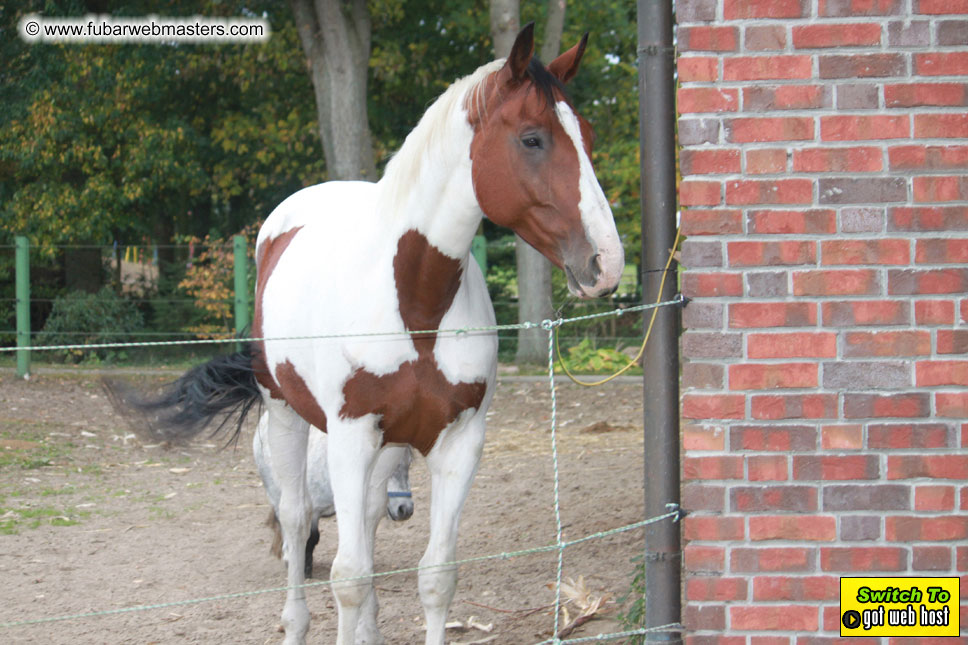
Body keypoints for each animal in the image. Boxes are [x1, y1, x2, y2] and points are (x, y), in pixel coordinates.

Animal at [253, 412, 412, 580]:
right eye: (388, 468)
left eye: (409, 463)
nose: (405, 509)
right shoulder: (313, 512)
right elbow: (311, 538)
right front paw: (305, 570)